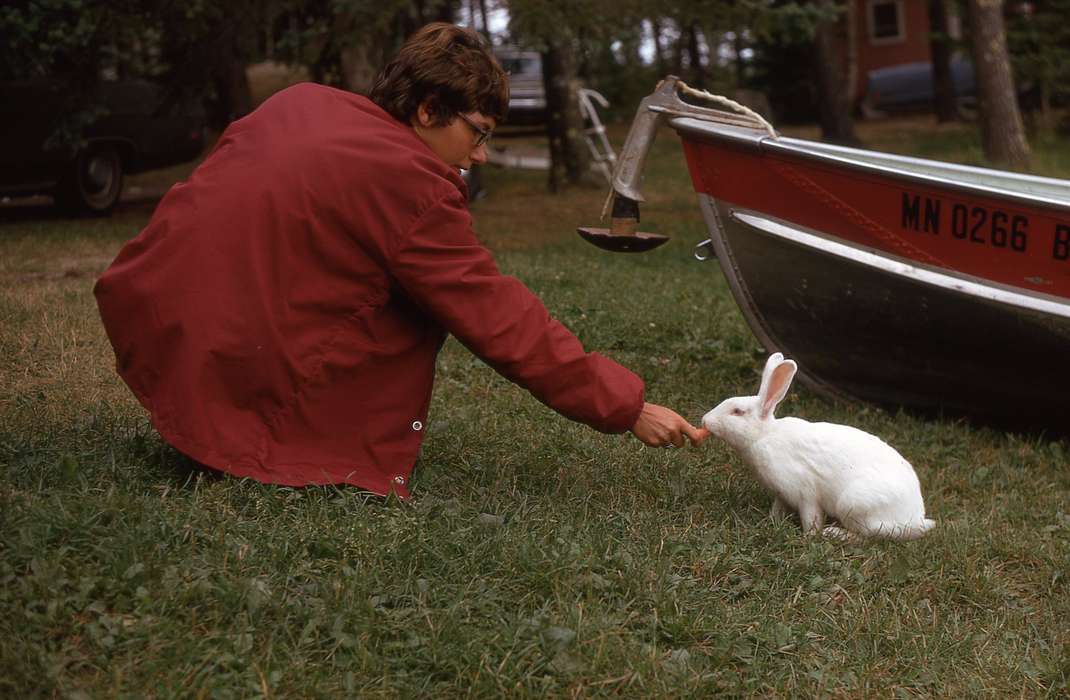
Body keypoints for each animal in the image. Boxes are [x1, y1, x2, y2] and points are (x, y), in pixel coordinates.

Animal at [697, 353, 933, 539]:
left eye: (737, 411)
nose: (705, 420)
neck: (765, 436)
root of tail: (915, 518)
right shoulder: (782, 494)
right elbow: (777, 508)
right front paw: (771, 522)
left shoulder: (806, 493)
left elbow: (811, 517)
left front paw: (809, 536)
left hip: (854, 504)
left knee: (867, 536)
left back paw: (835, 533)